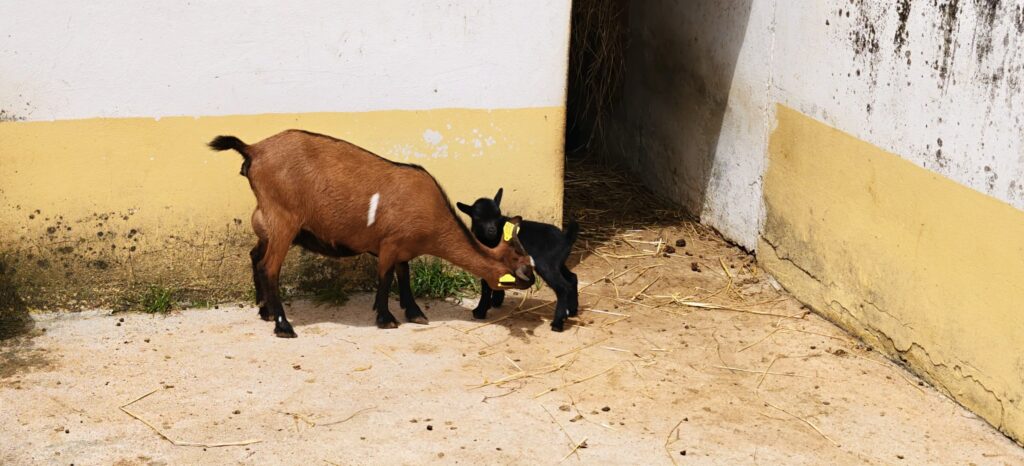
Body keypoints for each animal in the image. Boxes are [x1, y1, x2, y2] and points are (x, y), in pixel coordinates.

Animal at [209, 130, 536, 338]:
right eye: (515, 262)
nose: (532, 279)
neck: (433, 216)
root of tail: (254, 149)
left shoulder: (402, 247)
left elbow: (404, 276)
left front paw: (414, 312)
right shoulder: (389, 244)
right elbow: (386, 278)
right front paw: (386, 318)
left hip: (265, 221)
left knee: (254, 256)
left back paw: (264, 311)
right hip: (283, 220)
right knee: (269, 267)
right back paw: (283, 326)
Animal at [457, 188, 580, 331]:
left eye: (498, 216)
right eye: (478, 218)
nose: (492, 230)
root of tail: (566, 239)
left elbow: (486, 284)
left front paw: (480, 311)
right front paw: (496, 301)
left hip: (545, 264)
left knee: (562, 287)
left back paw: (557, 323)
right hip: (557, 262)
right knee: (572, 278)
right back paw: (572, 311)